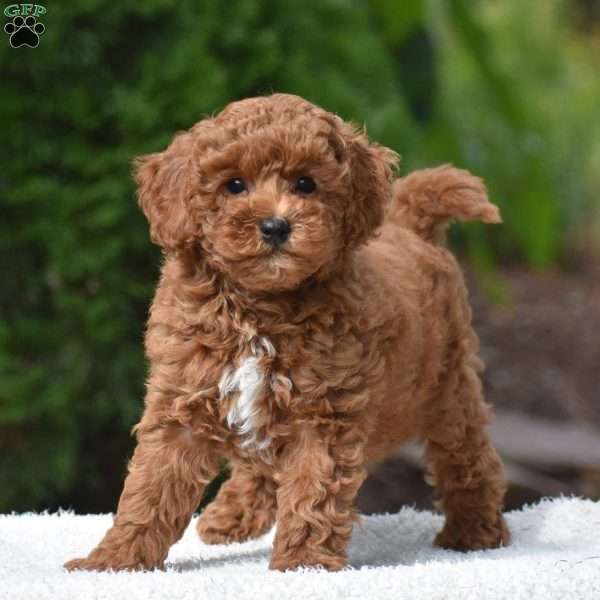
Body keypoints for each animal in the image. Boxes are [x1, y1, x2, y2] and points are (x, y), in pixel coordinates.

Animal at [65, 92, 508, 572]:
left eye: (306, 184)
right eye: (234, 185)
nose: (276, 225)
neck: (260, 306)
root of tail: (412, 224)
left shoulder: (323, 413)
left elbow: (313, 492)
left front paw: (302, 564)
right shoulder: (183, 399)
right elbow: (151, 488)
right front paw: (113, 560)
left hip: (448, 389)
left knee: (468, 459)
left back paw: (476, 530)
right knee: (257, 463)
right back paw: (230, 515)